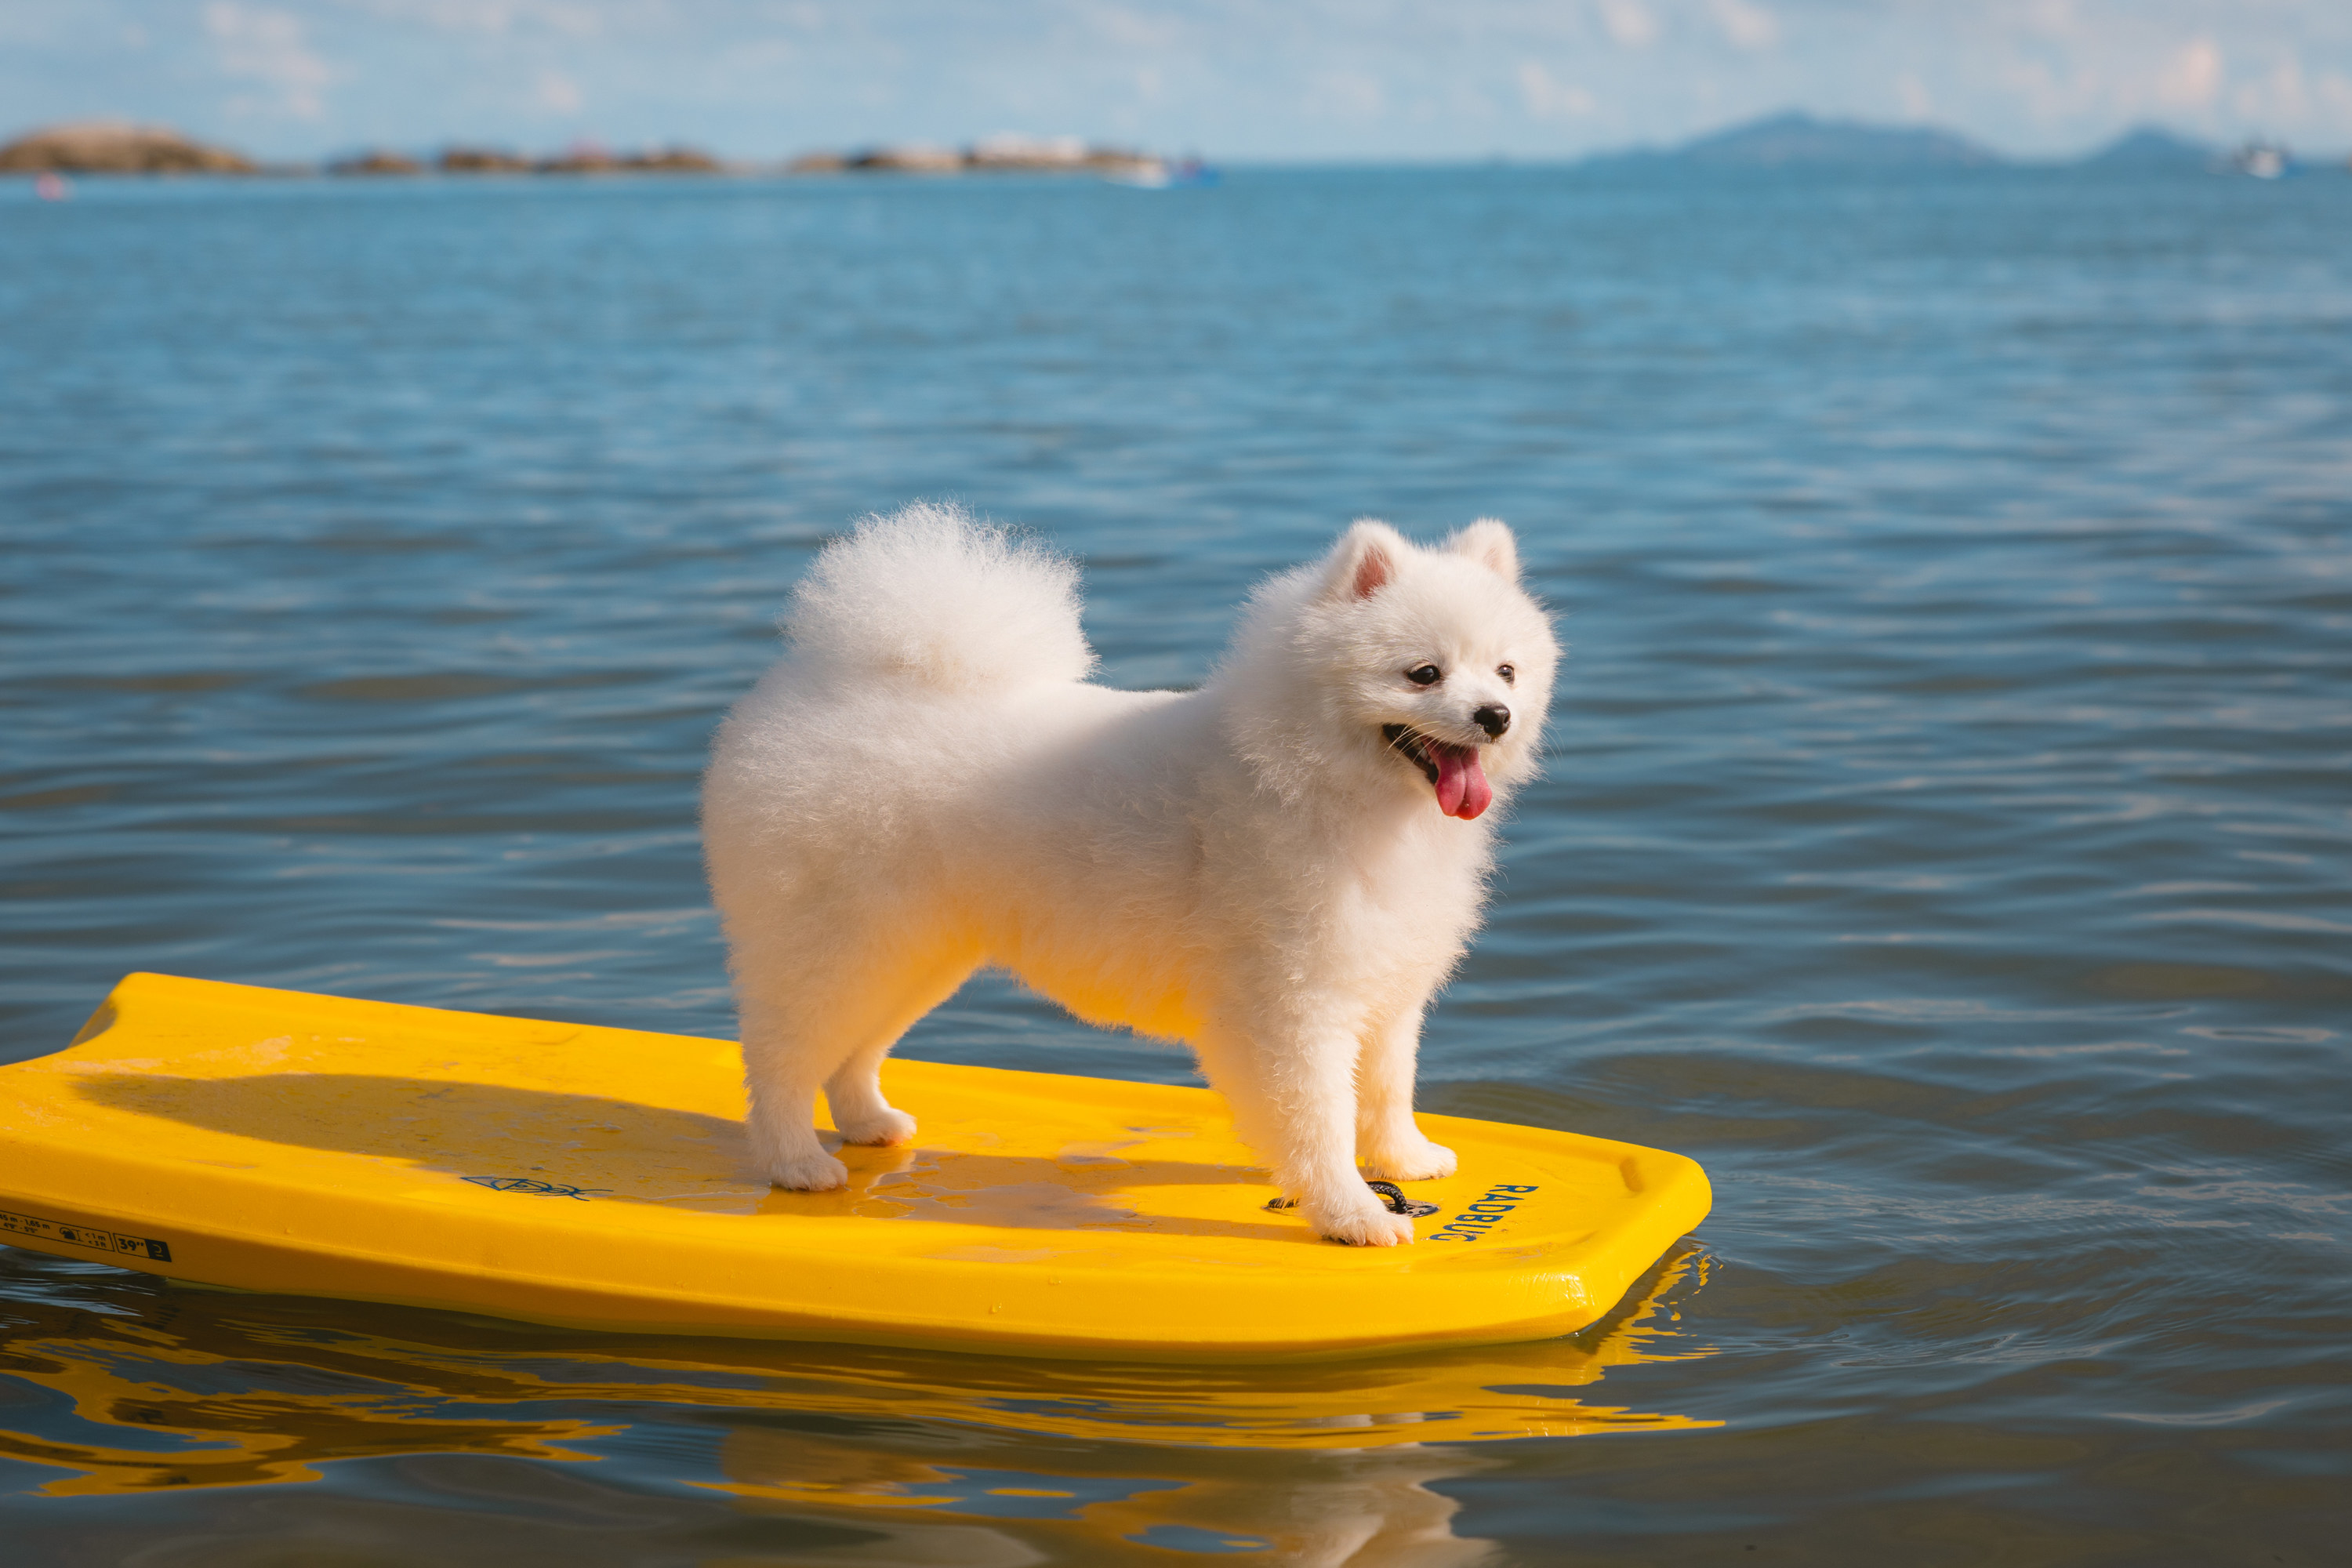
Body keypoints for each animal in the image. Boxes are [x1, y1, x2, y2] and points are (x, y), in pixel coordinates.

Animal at [696, 510, 1562, 1241]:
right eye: (1424, 674)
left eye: (1506, 671)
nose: (1494, 717)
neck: (1326, 791)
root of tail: (812, 688)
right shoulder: (1292, 1000)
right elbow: (1317, 1116)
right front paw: (1353, 1213)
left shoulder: (1387, 979)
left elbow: (1386, 1085)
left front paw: (1405, 1160)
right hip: (837, 942)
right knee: (779, 1055)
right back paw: (797, 1162)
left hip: (914, 951)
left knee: (853, 1050)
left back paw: (869, 1120)